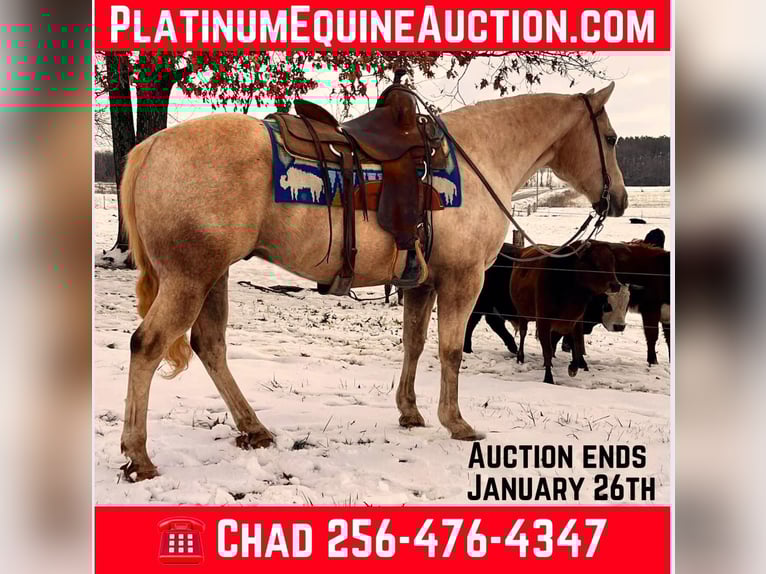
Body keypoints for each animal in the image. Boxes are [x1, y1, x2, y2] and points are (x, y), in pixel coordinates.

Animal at [118, 82, 628, 480]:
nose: (619, 200)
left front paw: (410, 412)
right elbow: (449, 350)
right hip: (189, 278)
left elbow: (414, 344)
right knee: (147, 345)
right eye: (610, 137)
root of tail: (152, 147)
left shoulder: (421, 283)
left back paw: (253, 428)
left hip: (213, 275)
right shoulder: (462, 280)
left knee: (210, 345)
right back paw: (139, 455)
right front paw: (456, 422)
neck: (480, 158)